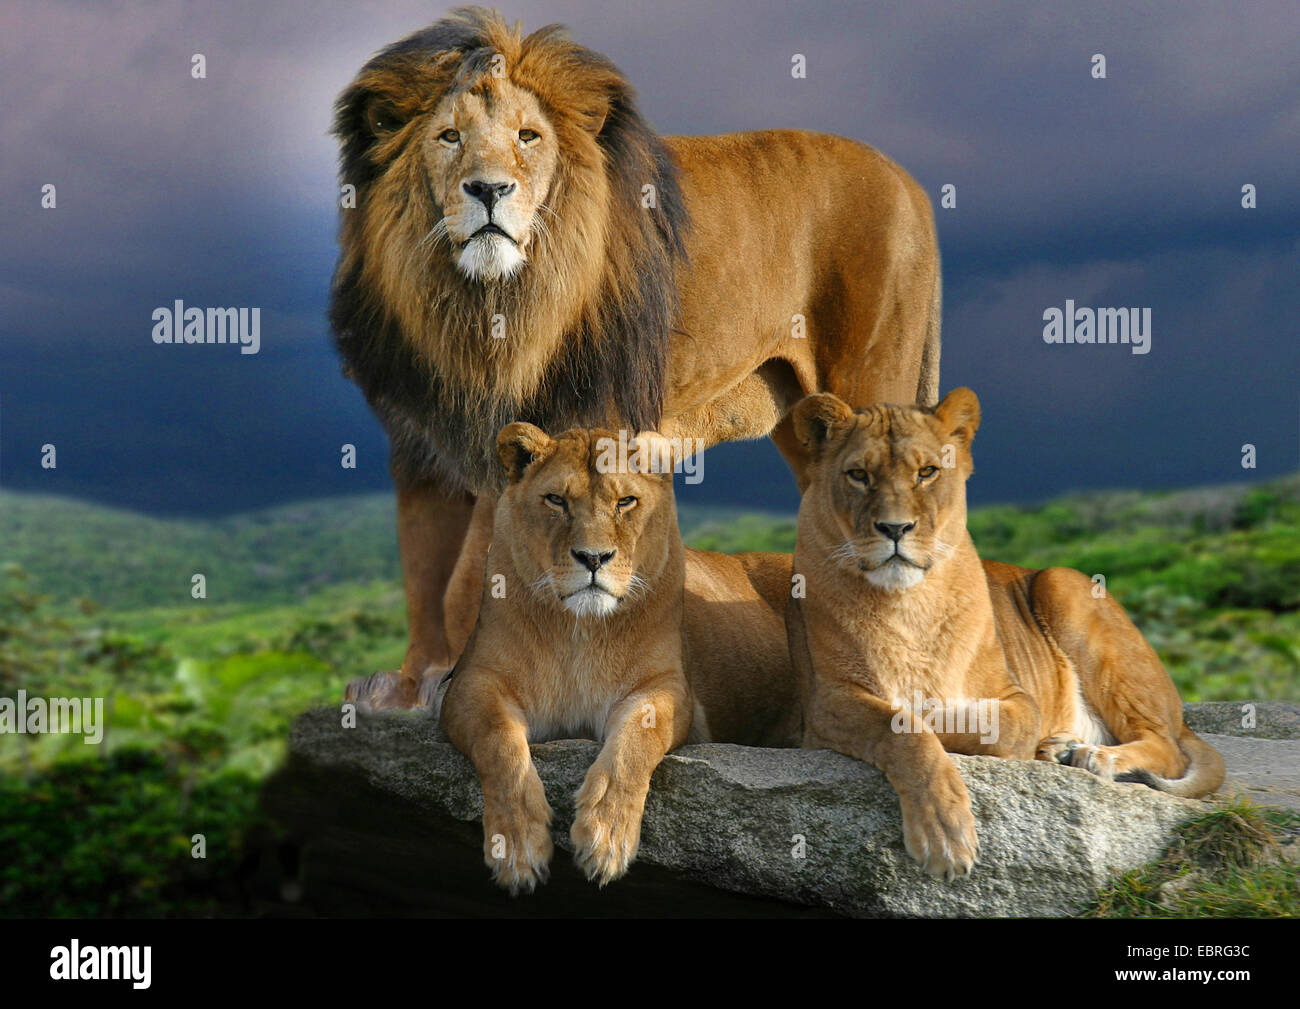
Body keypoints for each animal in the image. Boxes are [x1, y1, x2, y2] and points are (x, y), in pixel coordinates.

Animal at [323, 5, 935, 707]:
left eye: (529, 137)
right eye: (449, 137)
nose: (489, 190)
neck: (469, 306)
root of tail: (909, 181)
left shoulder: (543, 419)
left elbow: (469, 574)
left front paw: (458, 678)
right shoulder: (419, 437)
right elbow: (422, 567)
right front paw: (407, 685)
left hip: (871, 374)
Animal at [441, 423, 795, 889]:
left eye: (625, 501)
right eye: (556, 500)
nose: (593, 558)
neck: (580, 630)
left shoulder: (667, 689)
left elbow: (635, 743)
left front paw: (605, 836)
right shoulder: (471, 681)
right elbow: (499, 744)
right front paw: (516, 844)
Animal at [785, 390, 1222, 878]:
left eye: (927, 472)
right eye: (859, 475)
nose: (895, 529)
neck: (907, 603)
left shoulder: (1016, 698)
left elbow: (973, 723)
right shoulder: (827, 702)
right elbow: (903, 729)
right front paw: (943, 831)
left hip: (1061, 584)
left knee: (1169, 747)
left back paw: (1091, 755)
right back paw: (1061, 748)